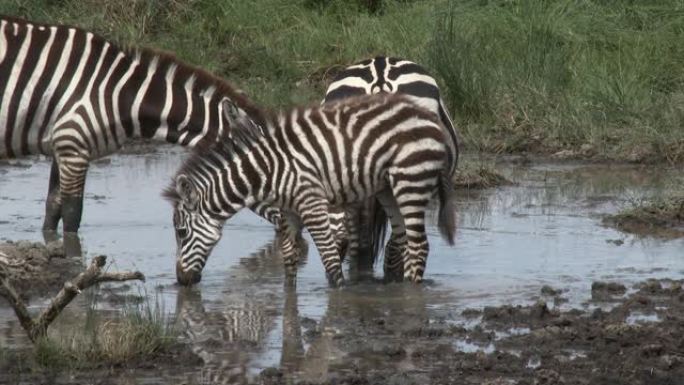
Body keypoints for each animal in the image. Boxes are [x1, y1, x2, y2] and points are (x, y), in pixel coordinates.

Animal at [0, 15, 264, 255]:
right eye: (259, 171)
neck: (120, 95)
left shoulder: (63, 147)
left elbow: (52, 208)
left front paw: (52, 246)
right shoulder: (73, 146)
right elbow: (73, 213)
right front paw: (74, 258)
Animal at [163, 92, 456, 284]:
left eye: (181, 232)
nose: (181, 280)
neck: (266, 170)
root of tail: (430, 117)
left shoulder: (311, 204)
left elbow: (331, 263)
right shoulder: (289, 211)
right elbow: (289, 261)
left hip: (411, 180)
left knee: (419, 246)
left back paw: (412, 293)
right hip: (388, 188)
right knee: (404, 239)